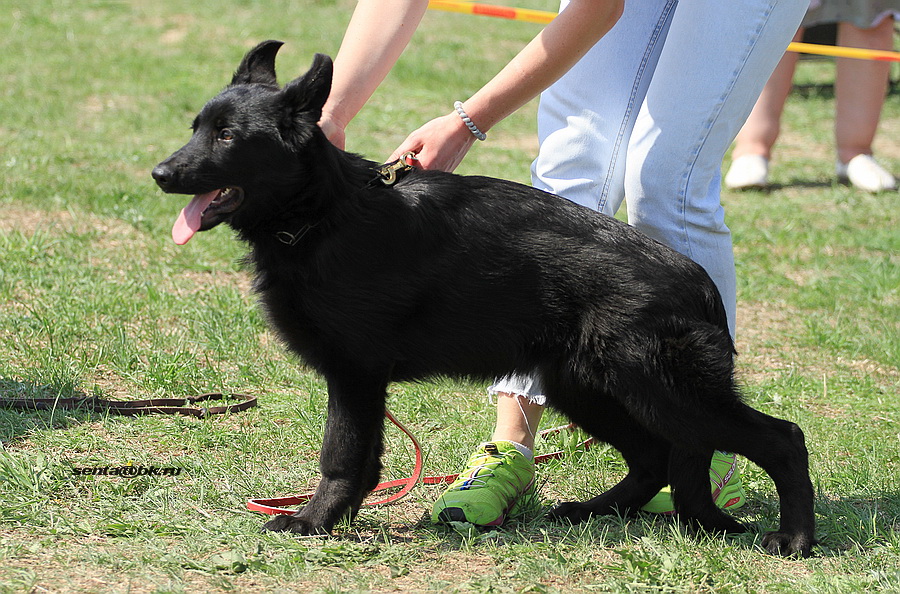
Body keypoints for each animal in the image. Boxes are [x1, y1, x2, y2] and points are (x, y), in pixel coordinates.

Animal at [153, 41, 816, 556]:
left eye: (228, 137)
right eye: (195, 129)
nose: (159, 173)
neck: (322, 215)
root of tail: (699, 283)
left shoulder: (354, 375)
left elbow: (341, 456)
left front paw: (315, 521)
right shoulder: (362, 381)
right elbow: (363, 459)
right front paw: (337, 518)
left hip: (661, 390)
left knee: (781, 439)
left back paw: (796, 539)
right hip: (592, 387)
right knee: (654, 455)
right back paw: (594, 511)